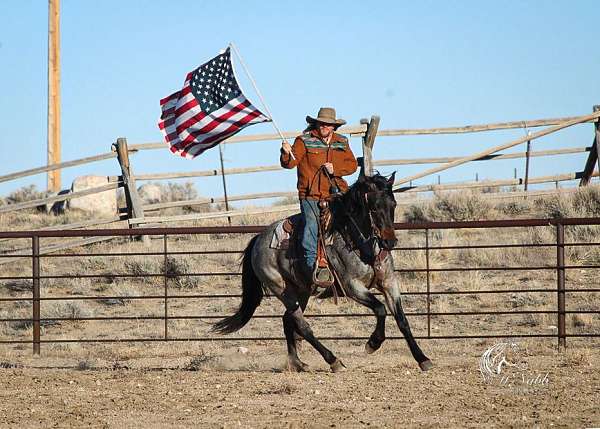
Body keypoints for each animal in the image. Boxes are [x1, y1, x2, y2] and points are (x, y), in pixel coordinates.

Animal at [211, 172, 432, 372]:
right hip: (282, 289)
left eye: (393, 205)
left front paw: (423, 359)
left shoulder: (389, 283)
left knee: (288, 320)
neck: (359, 243)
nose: (390, 242)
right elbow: (380, 309)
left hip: (301, 290)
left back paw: (297, 363)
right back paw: (333, 361)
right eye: (375, 207)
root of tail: (258, 239)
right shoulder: (352, 287)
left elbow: (402, 321)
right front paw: (373, 343)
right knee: (302, 325)